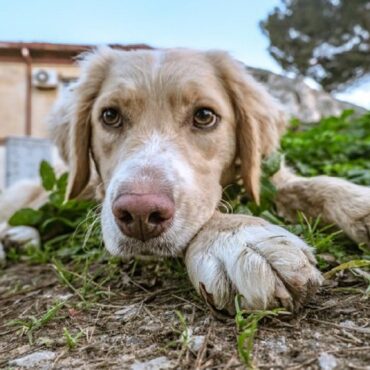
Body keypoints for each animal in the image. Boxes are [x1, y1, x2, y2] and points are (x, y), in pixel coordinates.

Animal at [2, 46, 370, 312]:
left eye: (204, 116)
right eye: (110, 116)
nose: (139, 214)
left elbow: (311, 184)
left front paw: (358, 203)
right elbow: (210, 213)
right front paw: (239, 239)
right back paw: (15, 236)